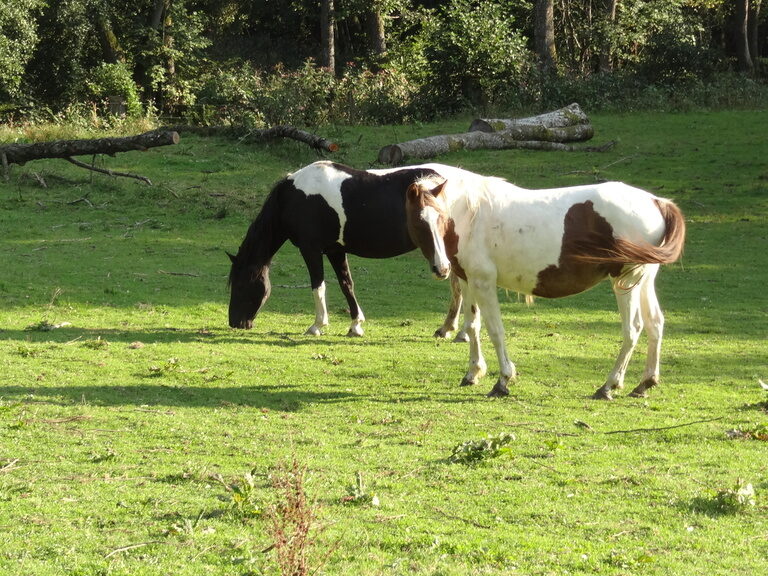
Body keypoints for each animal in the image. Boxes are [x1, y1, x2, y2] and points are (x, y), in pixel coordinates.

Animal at [227, 160, 474, 338]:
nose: (234, 322)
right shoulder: (335, 251)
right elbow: (347, 285)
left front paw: (317, 326)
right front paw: (355, 325)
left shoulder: (310, 250)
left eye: (239, 285)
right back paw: (448, 329)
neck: (294, 198)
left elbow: (318, 286)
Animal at [405, 173, 686, 400]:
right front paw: (473, 372)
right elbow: (472, 326)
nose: (441, 268)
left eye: (441, 217)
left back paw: (609, 385)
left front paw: (503, 381)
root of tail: (656, 201)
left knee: (633, 329)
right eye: (419, 222)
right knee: (655, 323)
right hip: (644, 279)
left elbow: (496, 331)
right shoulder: (468, 280)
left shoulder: (483, 283)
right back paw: (645, 383)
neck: (471, 216)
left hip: (625, 282)